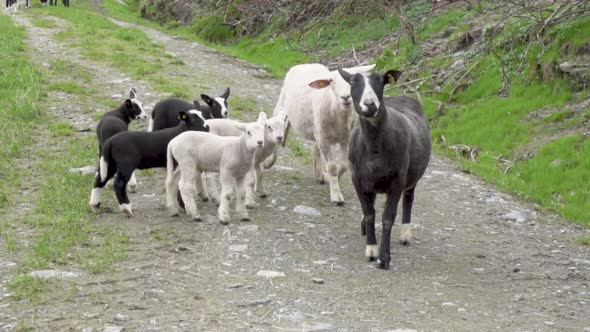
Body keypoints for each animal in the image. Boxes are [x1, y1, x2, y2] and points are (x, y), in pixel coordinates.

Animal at [272, 62, 376, 205]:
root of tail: (306, 64)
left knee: (315, 149)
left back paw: (319, 175)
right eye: (331, 81)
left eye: (353, 80)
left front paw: (331, 180)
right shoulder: (323, 139)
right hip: (283, 104)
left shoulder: (345, 139)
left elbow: (343, 166)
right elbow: (332, 167)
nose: (345, 97)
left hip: (317, 130)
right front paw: (336, 196)